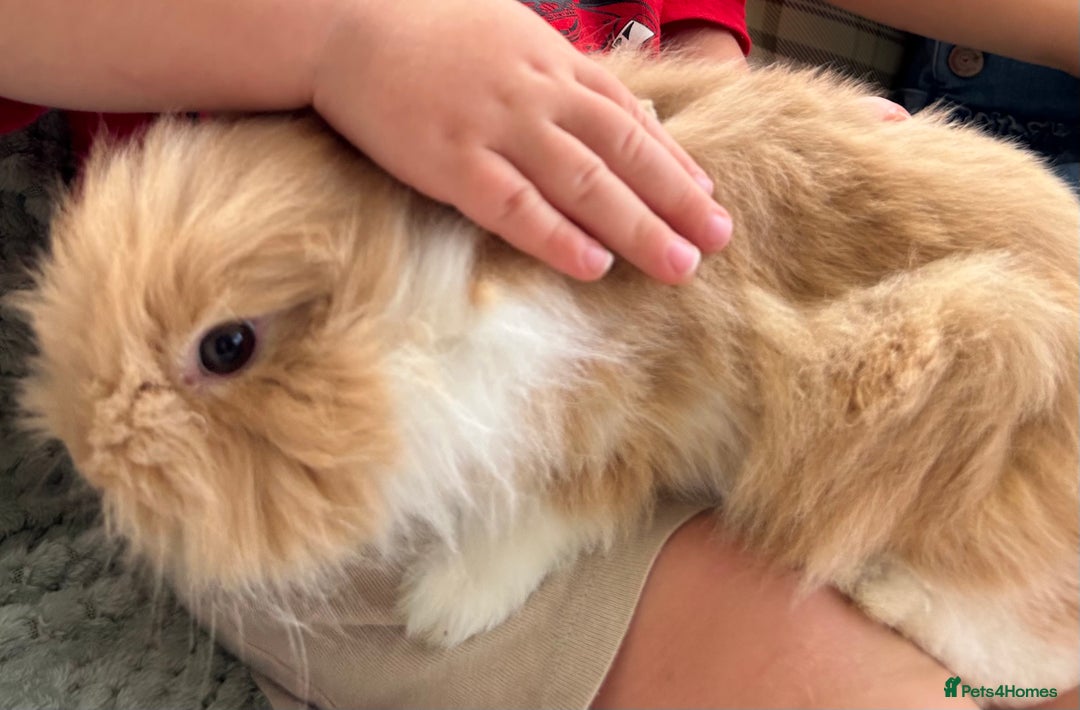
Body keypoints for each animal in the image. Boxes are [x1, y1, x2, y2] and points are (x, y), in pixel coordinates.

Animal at [12, 52, 1078, 701]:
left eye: (226, 346)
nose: (88, 455)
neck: (422, 302)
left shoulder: (641, 406)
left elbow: (554, 511)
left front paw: (443, 611)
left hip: (973, 379)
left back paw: (883, 593)